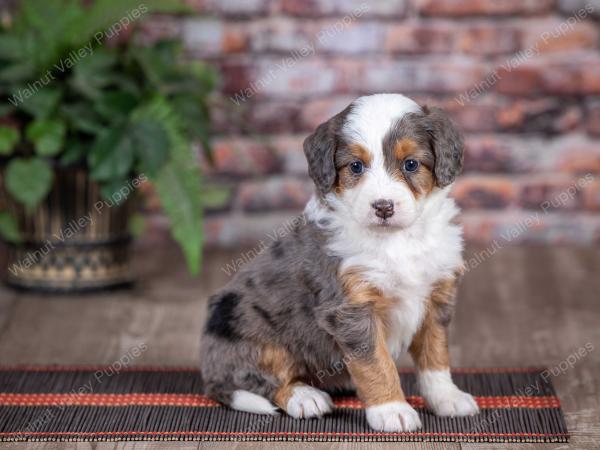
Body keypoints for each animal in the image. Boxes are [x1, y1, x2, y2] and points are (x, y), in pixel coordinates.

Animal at [199, 92, 480, 432]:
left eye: (411, 164)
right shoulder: (351, 308)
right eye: (356, 166)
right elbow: (377, 363)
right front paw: (392, 410)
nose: (383, 207)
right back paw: (305, 397)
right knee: (258, 378)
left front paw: (447, 398)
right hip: (248, 328)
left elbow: (435, 356)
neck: (396, 240)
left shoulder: (436, 298)